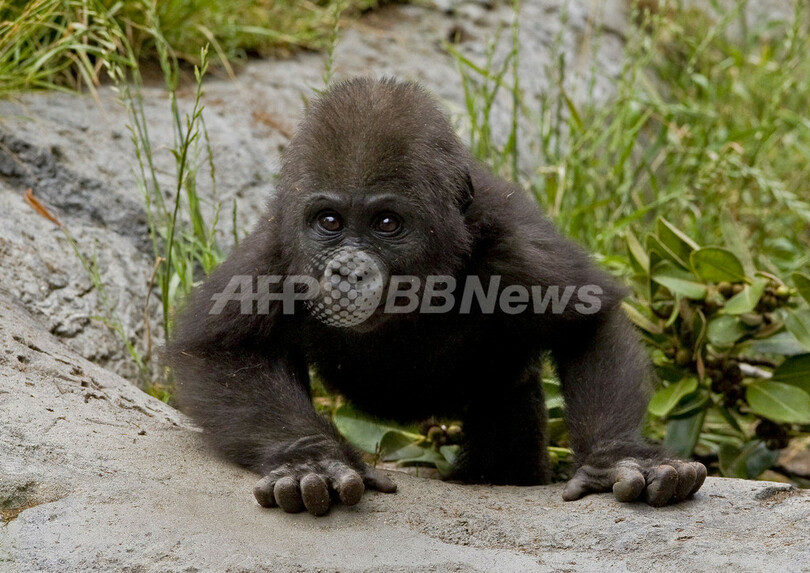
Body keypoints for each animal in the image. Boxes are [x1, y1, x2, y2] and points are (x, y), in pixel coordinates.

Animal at [167, 77, 704, 512]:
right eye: (330, 222)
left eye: (387, 223)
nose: (349, 272)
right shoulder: (274, 254)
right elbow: (219, 351)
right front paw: (309, 458)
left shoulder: (514, 245)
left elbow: (587, 325)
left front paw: (618, 456)